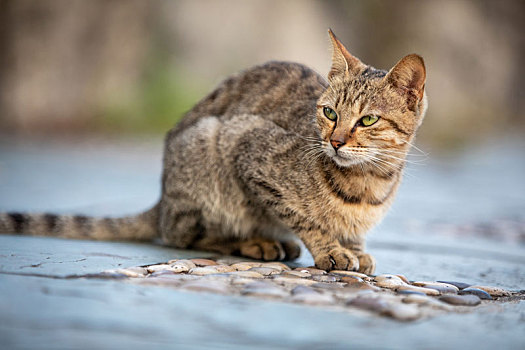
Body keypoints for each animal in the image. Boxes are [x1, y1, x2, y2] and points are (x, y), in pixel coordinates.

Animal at [1, 30, 426, 272]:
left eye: (367, 120)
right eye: (330, 113)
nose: (335, 141)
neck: (368, 183)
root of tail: (162, 203)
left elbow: (350, 231)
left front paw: (355, 248)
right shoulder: (247, 146)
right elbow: (303, 217)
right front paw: (331, 249)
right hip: (207, 154)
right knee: (183, 237)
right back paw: (258, 242)